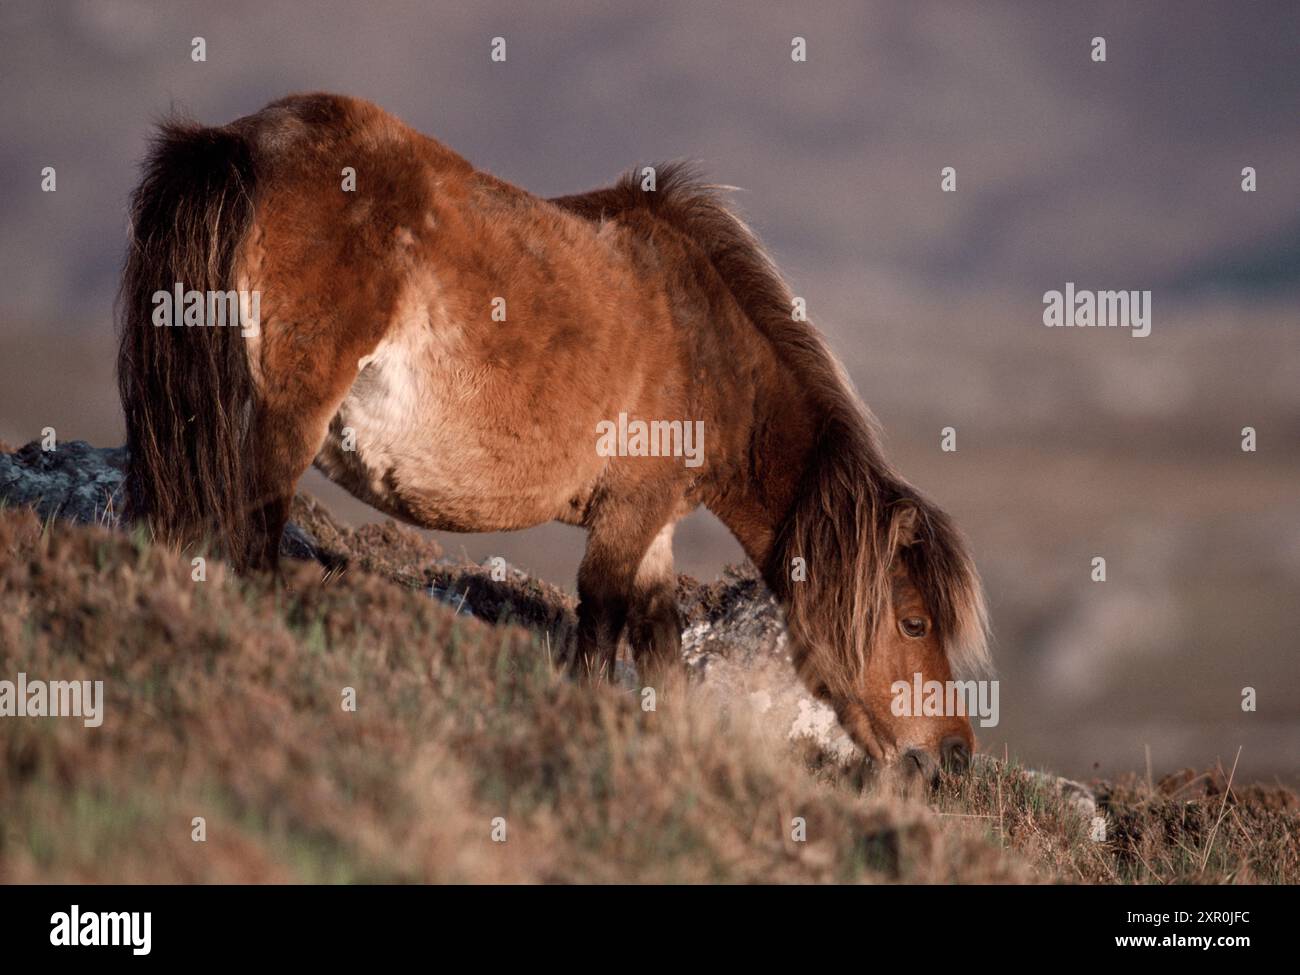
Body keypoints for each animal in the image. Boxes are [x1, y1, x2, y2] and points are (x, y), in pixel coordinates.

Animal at [116, 91, 987, 785]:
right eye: (914, 621)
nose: (952, 755)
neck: (707, 346)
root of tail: (247, 139)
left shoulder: (654, 526)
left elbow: (660, 647)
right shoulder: (628, 512)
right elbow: (599, 629)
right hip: (289, 415)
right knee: (255, 537)